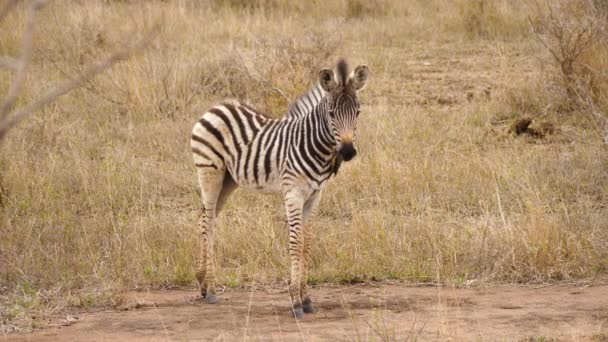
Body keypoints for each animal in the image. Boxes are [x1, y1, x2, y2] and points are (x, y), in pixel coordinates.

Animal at [191, 58, 370, 318]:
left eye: (357, 112)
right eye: (331, 113)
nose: (347, 152)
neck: (312, 144)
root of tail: (215, 107)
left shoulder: (315, 196)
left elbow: (307, 243)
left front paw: (306, 299)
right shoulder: (293, 192)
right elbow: (296, 243)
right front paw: (295, 301)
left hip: (228, 179)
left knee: (206, 217)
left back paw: (204, 284)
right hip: (210, 171)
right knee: (207, 221)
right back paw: (212, 289)